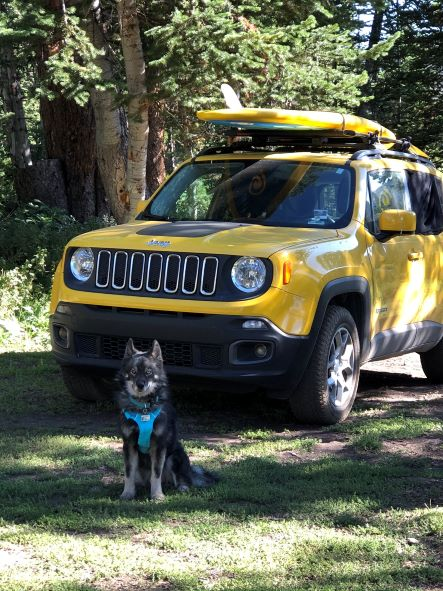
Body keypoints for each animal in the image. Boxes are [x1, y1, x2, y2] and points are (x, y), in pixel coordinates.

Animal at [116, 340, 217, 502]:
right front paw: (128, 493)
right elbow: (128, 473)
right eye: (133, 372)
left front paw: (157, 495)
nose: (140, 385)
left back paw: (182, 487)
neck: (144, 407)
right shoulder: (129, 445)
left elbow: (156, 473)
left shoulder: (159, 445)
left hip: (174, 456)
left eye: (148, 372)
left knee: (182, 479)